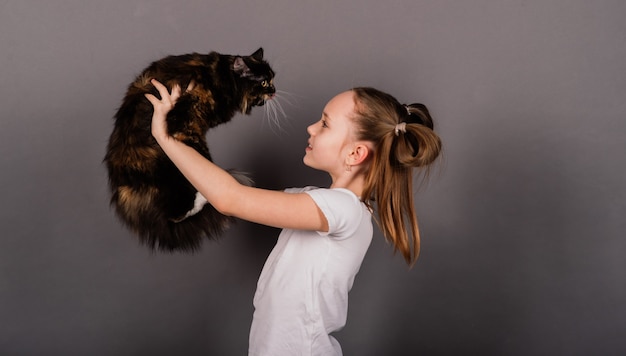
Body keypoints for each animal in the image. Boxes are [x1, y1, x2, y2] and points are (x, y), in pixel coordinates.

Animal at [103, 47, 274, 252]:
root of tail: (120, 185)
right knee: (177, 214)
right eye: (264, 82)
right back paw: (205, 194)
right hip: (171, 175)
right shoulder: (186, 118)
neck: (220, 77)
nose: (274, 91)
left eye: (272, 79)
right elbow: (203, 152)